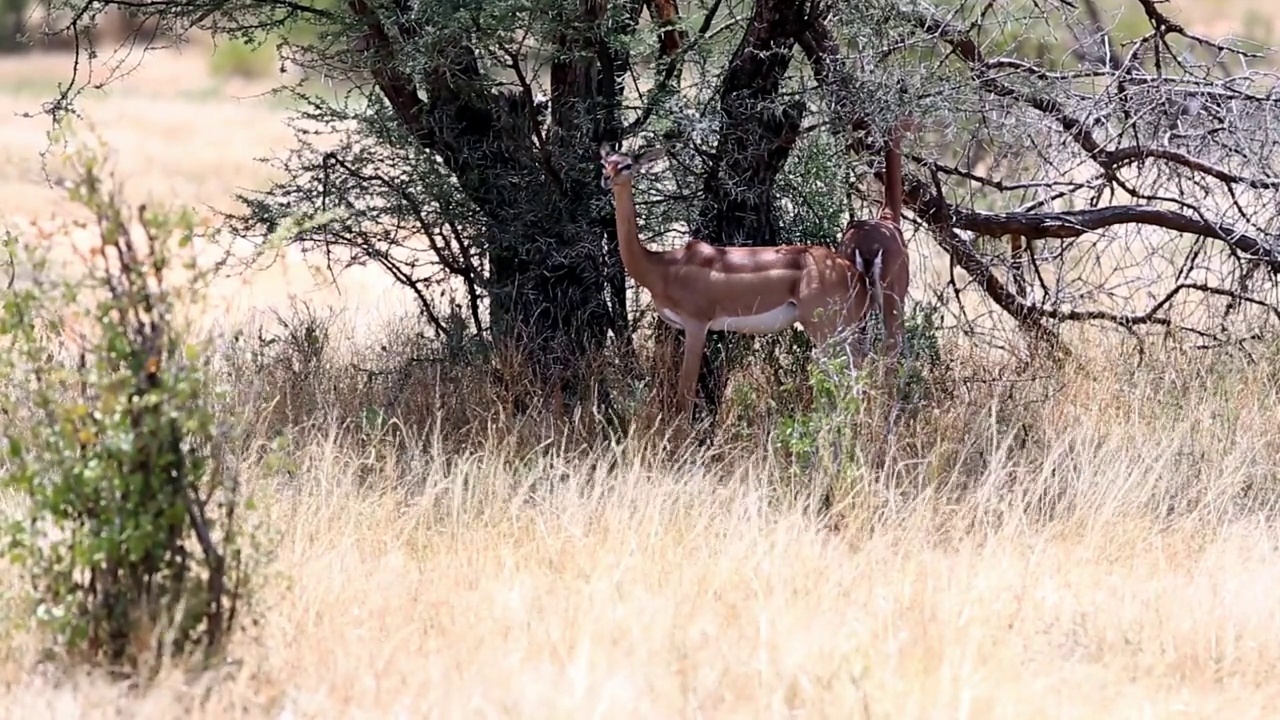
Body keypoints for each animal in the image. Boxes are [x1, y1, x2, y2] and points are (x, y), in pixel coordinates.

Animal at [596, 142, 860, 420]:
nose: (606, 178)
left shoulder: (696, 325)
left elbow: (685, 397)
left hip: (827, 329)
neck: (664, 267)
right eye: (605, 163)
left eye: (627, 165)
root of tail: (853, 273)